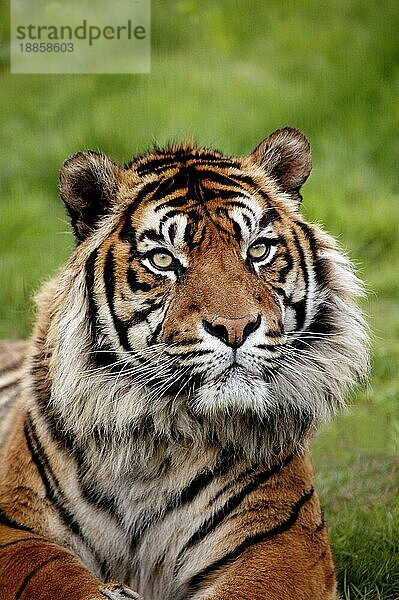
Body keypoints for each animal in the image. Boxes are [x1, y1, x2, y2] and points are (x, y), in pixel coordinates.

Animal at [0, 127, 368, 600]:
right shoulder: (15, 531)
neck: (155, 444)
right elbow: (53, 577)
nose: (236, 327)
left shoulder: (282, 542)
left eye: (258, 250)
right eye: (163, 259)